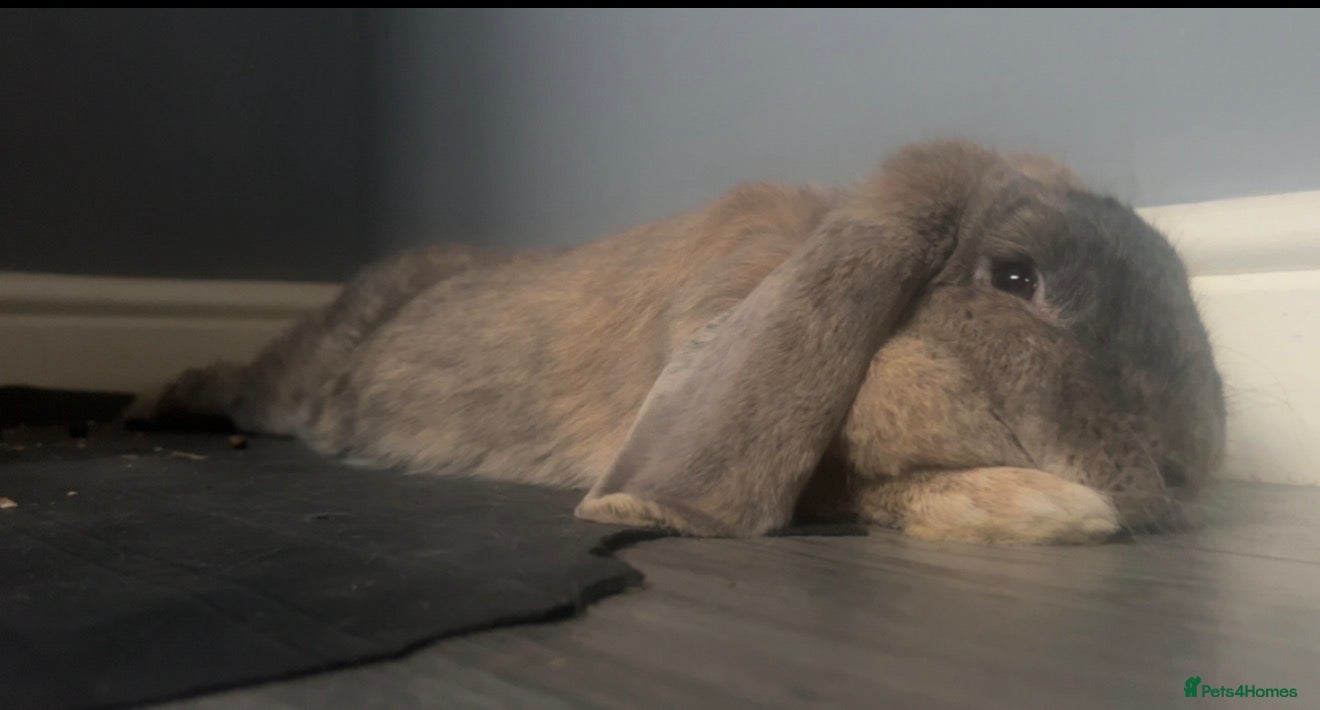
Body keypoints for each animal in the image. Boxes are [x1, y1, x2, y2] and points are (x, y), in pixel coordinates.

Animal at [143, 140, 1226, 545]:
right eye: (1014, 279)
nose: (1191, 468)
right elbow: (867, 487)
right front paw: (1045, 504)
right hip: (293, 380)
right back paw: (153, 405)